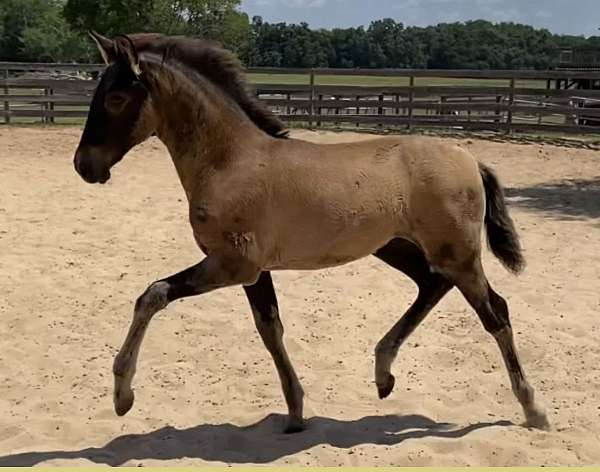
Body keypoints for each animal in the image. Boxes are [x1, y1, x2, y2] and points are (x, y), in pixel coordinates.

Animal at [72, 31, 552, 434]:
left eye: (115, 96)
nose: (84, 166)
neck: (230, 161)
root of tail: (470, 159)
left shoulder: (232, 265)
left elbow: (151, 295)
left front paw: (122, 395)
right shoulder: (253, 271)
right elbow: (270, 329)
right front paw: (296, 411)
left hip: (458, 254)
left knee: (495, 312)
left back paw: (533, 410)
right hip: (398, 247)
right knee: (431, 285)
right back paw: (383, 374)